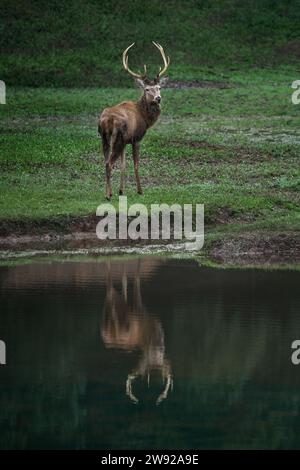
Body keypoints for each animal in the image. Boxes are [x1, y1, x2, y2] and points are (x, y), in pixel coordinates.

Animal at [98, 40, 170, 200]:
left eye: (159, 87)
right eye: (147, 89)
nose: (158, 98)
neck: (145, 118)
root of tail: (107, 120)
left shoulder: (126, 141)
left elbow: (124, 164)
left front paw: (121, 190)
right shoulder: (136, 138)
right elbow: (136, 164)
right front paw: (140, 190)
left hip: (104, 138)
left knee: (106, 161)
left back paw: (108, 192)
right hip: (117, 138)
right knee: (109, 163)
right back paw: (108, 195)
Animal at [100, 258, 172, 406]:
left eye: (160, 357)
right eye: (149, 354)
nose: (158, 346)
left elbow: (124, 280)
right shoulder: (138, 307)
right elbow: (137, 278)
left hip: (106, 316)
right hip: (114, 306)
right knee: (110, 289)